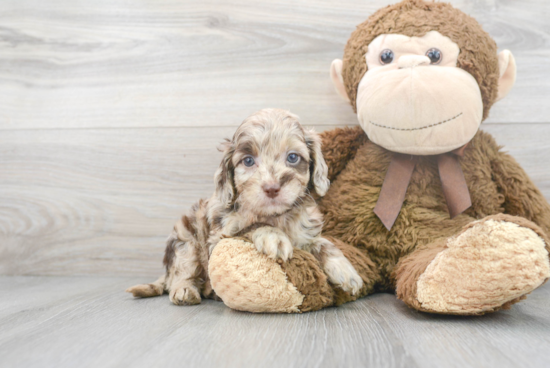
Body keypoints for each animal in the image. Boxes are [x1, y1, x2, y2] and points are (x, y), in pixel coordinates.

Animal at [126, 107, 364, 304]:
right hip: (185, 239)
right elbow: (250, 227)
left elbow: (322, 243)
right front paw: (273, 236)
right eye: (248, 160)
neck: (276, 216)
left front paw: (345, 269)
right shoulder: (219, 237)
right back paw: (186, 290)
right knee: (181, 271)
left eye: (293, 157)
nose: (271, 188)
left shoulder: (305, 235)